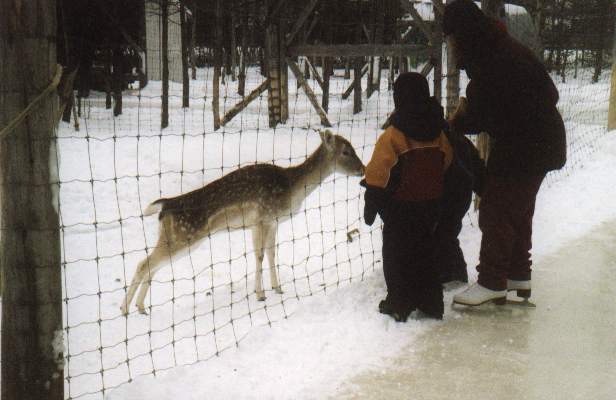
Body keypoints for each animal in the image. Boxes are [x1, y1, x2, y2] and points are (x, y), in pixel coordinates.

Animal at [122, 131, 364, 316]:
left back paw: (141, 307)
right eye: (345, 151)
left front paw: (278, 288)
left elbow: (271, 253)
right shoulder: (261, 219)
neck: (292, 190)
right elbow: (259, 256)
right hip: (183, 236)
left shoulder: (273, 221)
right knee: (143, 264)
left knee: (152, 266)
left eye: (353, 148)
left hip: (174, 238)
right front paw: (260, 294)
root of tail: (164, 206)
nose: (362, 169)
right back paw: (124, 309)